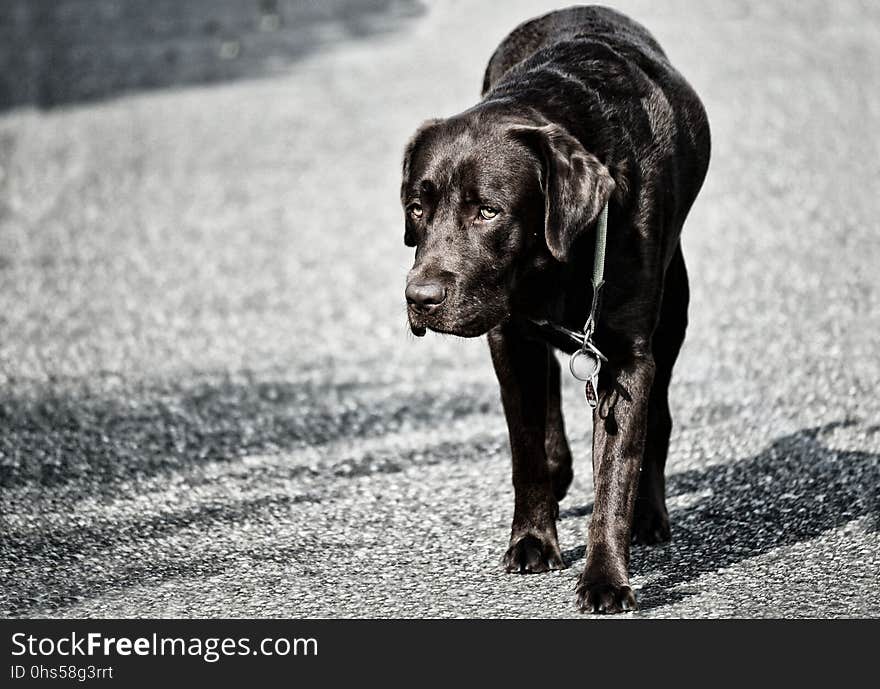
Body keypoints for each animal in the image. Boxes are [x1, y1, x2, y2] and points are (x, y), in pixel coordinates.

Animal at [398, 6, 708, 612]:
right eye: (418, 208)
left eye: (487, 211)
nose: (419, 299)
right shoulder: (508, 337)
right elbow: (527, 449)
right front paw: (533, 542)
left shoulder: (628, 359)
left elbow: (617, 469)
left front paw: (606, 578)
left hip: (674, 308)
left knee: (657, 418)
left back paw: (650, 515)